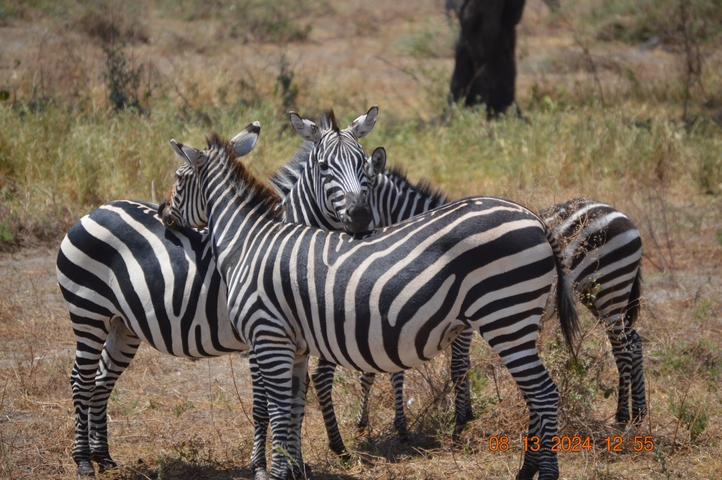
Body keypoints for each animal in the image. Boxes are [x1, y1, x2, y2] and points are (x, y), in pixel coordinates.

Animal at [158, 129, 580, 480]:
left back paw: (545, 474)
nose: (163, 216)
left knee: (544, 394)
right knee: (536, 396)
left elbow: (278, 409)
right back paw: (526, 472)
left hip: (505, 316)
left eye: (178, 178)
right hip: (517, 320)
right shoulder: (295, 345)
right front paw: (293, 471)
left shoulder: (268, 336)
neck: (248, 241)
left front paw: (276, 473)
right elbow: (293, 408)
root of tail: (533, 218)